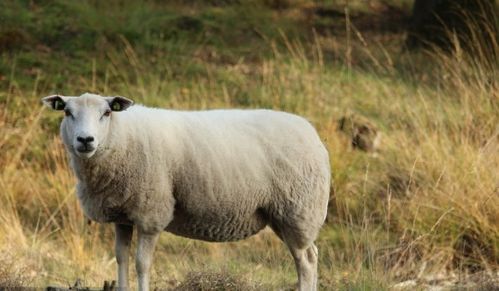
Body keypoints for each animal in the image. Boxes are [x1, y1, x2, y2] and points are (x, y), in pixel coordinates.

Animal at [42, 93, 332, 291]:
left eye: (106, 113)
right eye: (67, 112)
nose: (85, 140)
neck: (122, 137)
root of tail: (312, 133)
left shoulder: (151, 214)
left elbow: (142, 263)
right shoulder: (123, 216)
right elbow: (121, 259)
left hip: (298, 210)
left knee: (306, 260)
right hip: (283, 216)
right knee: (310, 256)